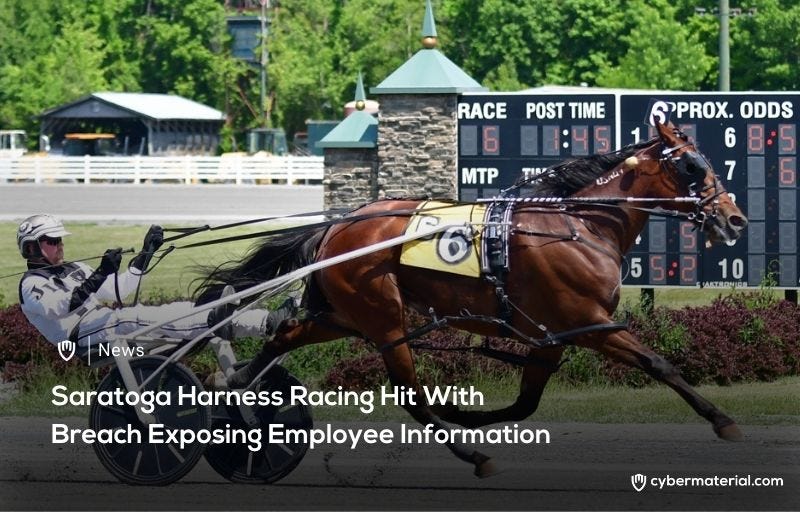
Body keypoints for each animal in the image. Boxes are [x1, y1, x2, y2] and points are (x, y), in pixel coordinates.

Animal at [197, 121, 748, 477]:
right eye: (694, 166)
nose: (735, 218)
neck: (579, 227)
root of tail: (339, 225)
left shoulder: (555, 334)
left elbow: (525, 404)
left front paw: (464, 412)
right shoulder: (591, 323)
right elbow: (659, 363)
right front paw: (723, 420)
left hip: (345, 315)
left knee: (287, 334)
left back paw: (236, 386)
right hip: (382, 316)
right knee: (410, 395)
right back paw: (472, 456)